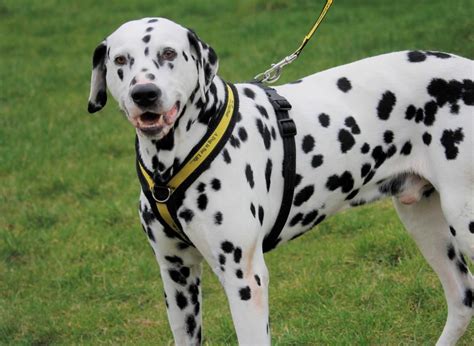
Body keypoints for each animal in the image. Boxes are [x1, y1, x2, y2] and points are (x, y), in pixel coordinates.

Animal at [87, 18, 472, 346]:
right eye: (120, 59)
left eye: (168, 53)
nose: (145, 94)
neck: (171, 162)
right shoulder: (176, 274)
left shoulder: (246, 280)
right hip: (424, 224)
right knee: (462, 298)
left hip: (463, 220)